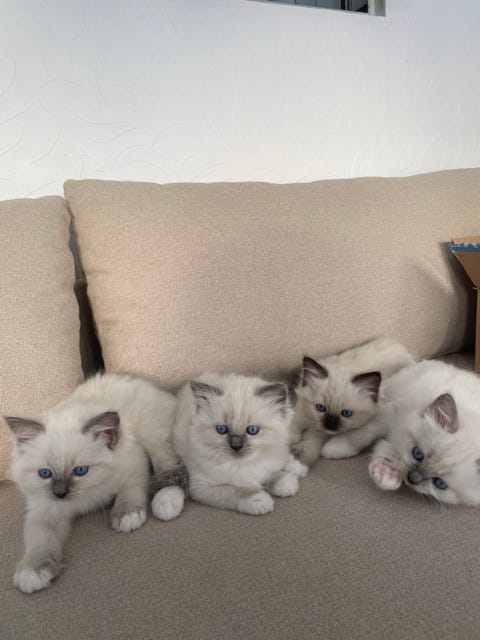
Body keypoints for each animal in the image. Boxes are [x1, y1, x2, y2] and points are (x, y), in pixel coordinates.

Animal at [6, 372, 183, 594]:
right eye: (45, 473)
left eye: (80, 471)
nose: (60, 493)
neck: (83, 499)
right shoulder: (45, 510)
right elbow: (40, 540)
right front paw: (33, 572)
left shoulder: (134, 463)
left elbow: (129, 490)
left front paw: (127, 515)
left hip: (153, 436)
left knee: (172, 469)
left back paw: (166, 502)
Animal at [172, 373, 307, 515]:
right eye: (222, 429)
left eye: (252, 430)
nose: (236, 446)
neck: (242, 465)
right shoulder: (201, 487)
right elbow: (234, 491)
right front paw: (260, 500)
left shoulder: (264, 468)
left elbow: (274, 475)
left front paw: (286, 484)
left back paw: (297, 468)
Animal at [291, 337, 414, 466]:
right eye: (320, 407)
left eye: (346, 413)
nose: (330, 424)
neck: (311, 423)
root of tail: (402, 348)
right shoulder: (300, 413)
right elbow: (291, 430)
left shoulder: (320, 434)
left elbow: (308, 445)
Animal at [369, 359, 480, 505]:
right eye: (417, 454)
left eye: (439, 483)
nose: (411, 479)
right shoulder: (391, 415)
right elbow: (368, 436)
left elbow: (387, 446)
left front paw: (388, 472)